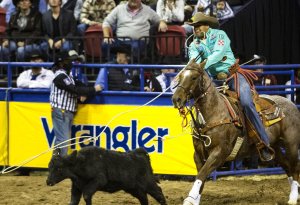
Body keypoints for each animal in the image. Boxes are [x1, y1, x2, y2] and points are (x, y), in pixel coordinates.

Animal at [171, 59, 300, 205]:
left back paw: (293, 197)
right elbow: (201, 177)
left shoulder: (220, 152)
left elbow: (202, 174)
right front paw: (194, 199)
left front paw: (189, 199)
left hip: (291, 144)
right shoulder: (198, 154)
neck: (215, 111)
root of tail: (291, 104)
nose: (176, 99)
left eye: (193, 77)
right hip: (275, 148)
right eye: (180, 76)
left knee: (295, 167)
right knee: (287, 167)